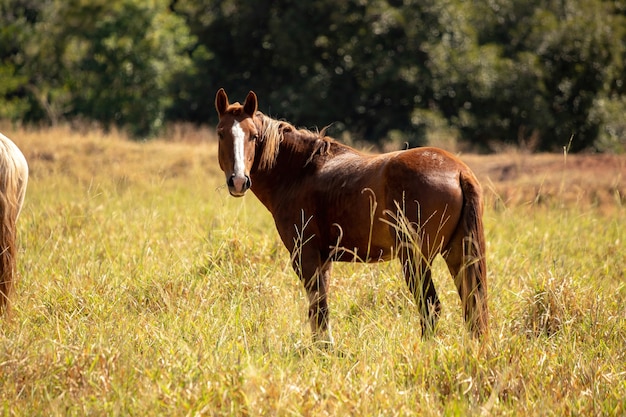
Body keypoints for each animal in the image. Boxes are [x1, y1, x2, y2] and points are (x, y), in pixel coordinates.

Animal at [216, 88, 488, 344]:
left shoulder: (305, 255)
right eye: (221, 133)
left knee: (431, 306)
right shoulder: (323, 259)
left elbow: (319, 309)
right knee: (472, 307)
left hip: (415, 259)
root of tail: (459, 171)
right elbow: (320, 308)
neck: (299, 173)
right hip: (457, 255)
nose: (238, 181)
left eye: (253, 136)